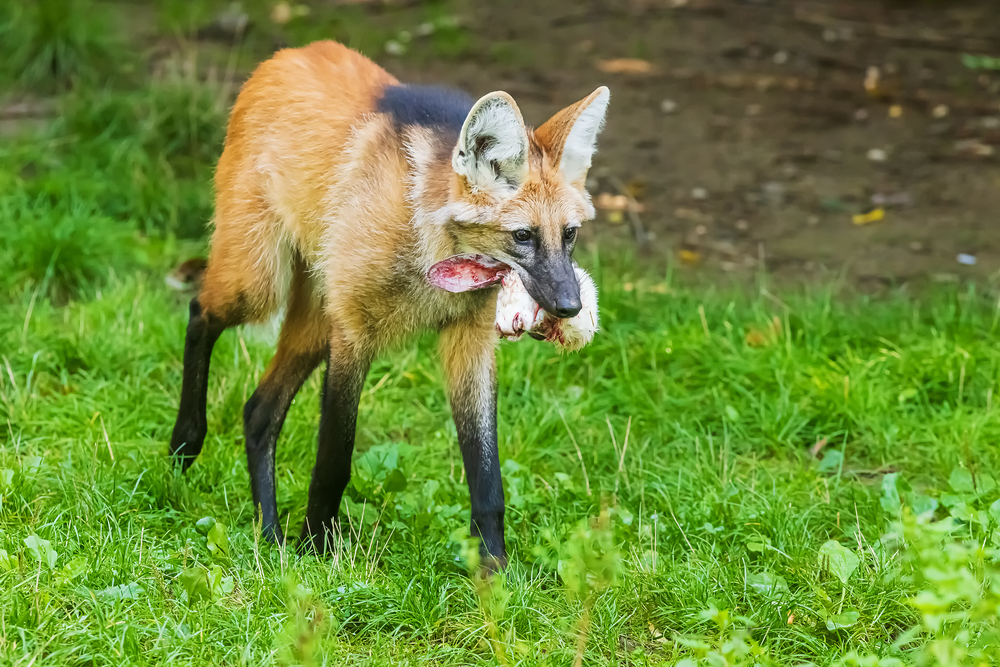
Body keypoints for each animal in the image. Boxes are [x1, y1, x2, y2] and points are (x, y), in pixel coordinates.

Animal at [168, 40, 610, 568]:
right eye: (522, 236)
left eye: (570, 235)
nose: (569, 306)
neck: (431, 253)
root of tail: (287, 53)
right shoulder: (353, 334)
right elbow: (334, 460)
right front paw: (316, 552)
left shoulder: (468, 339)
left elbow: (487, 479)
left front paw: (494, 571)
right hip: (260, 284)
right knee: (201, 312)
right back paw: (186, 444)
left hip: (316, 319)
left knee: (258, 410)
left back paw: (269, 534)